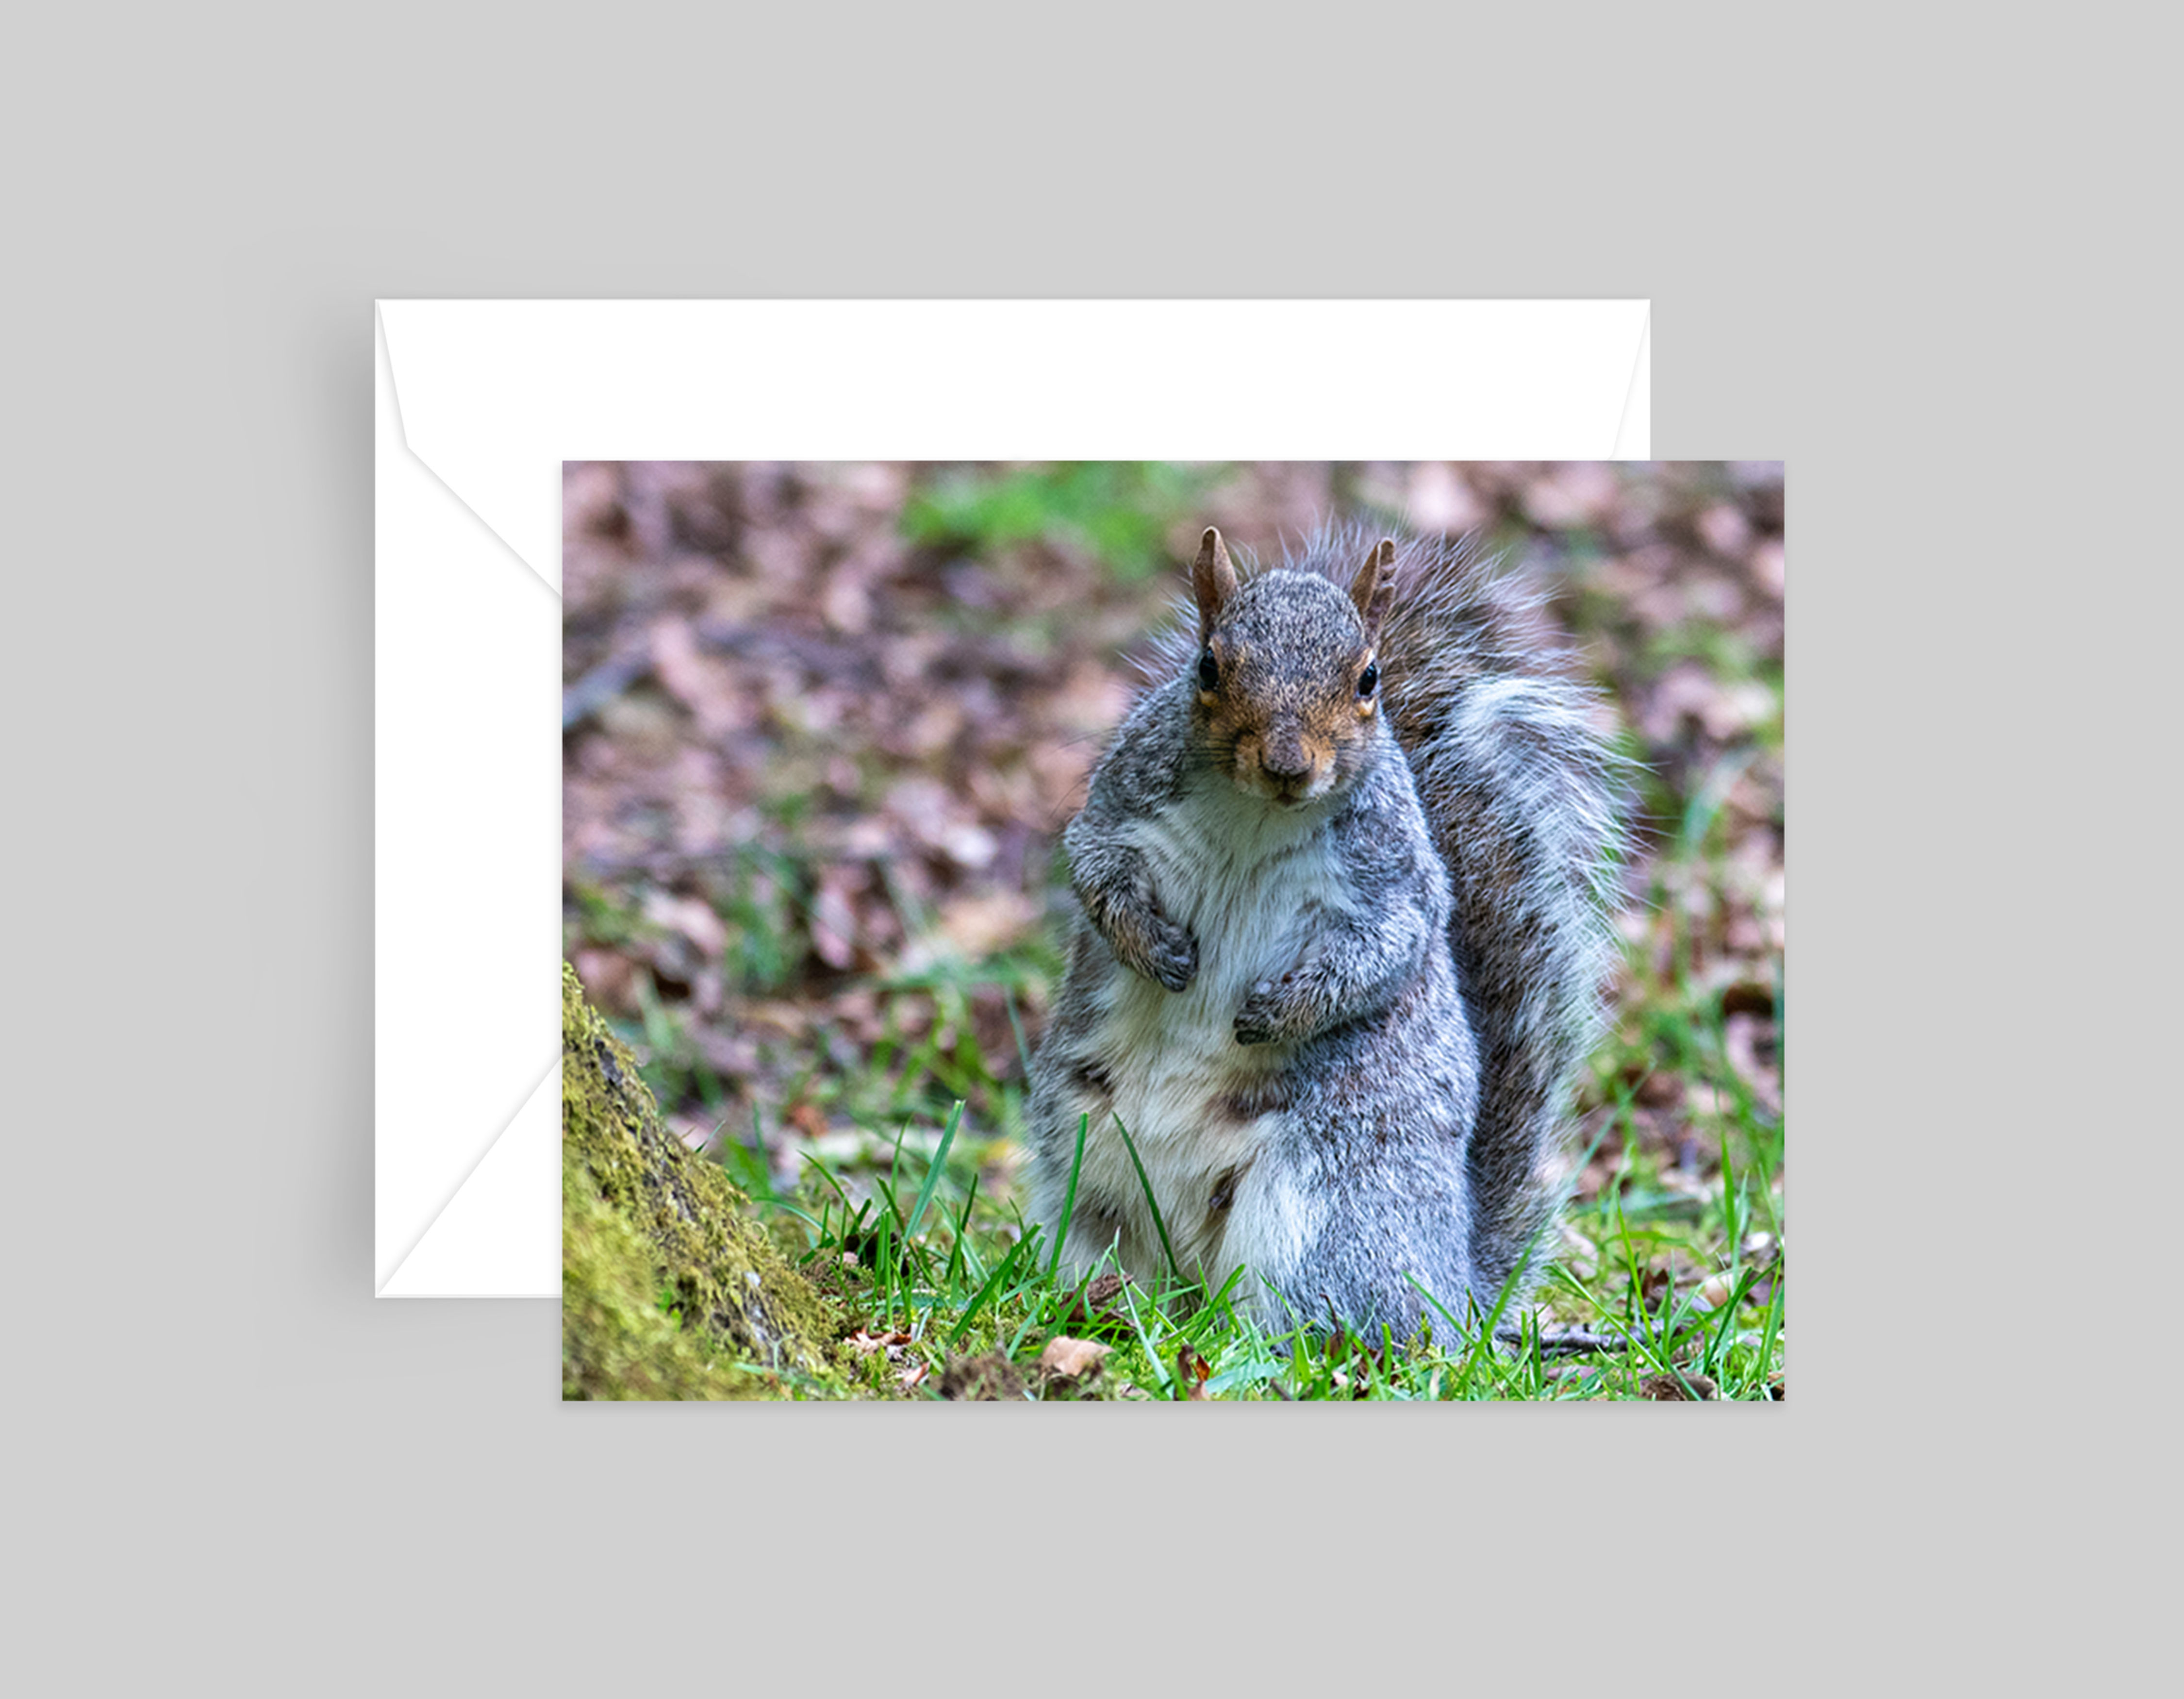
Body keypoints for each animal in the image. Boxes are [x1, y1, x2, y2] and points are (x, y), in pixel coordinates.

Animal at [1024, 522, 1628, 1339]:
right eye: (1208, 665)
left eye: (1369, 680)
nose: (1287, 764)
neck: (1257, 814)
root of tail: (1455, 1289)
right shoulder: (1118, 812)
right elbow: (1095, 872)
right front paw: (1153, 948)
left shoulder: (1395, 879)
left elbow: (1384, 949)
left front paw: (1279, 1011)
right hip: (1091, 1184)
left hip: (1324, 1212)